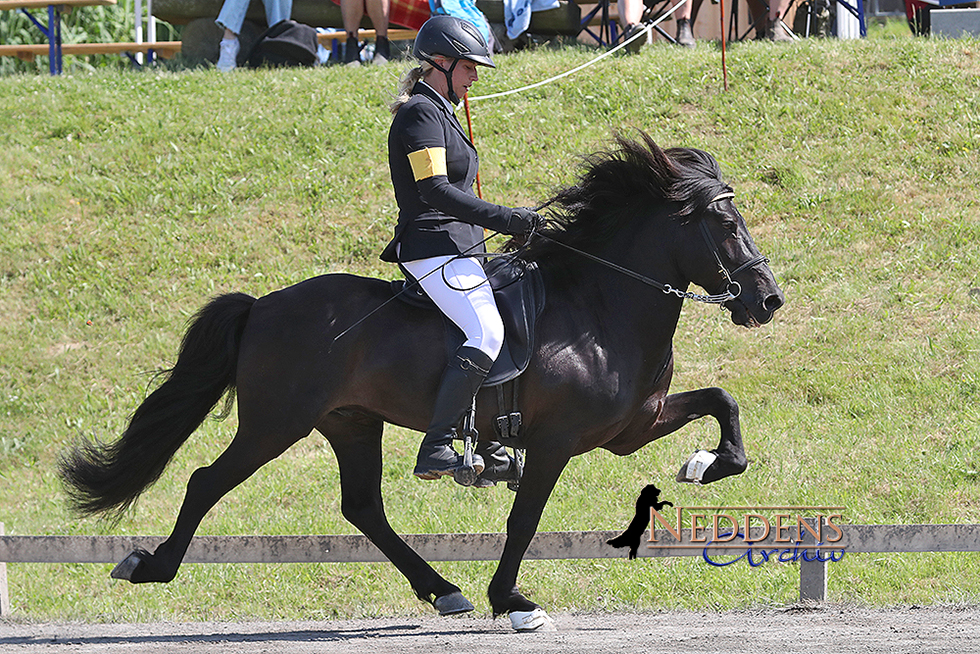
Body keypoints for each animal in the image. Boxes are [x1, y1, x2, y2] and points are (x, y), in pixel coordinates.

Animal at [59, 132, 780, 632]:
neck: (601, 307)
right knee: (207, 482)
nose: (767, 301)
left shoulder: (633, 425)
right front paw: (512, 600)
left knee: (363, 508)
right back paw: (152, 566)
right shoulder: (556, 443)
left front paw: (708, 464)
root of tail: (261, 305)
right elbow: (524, 520)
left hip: (351, 423)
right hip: (275, 423)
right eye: (724, 224)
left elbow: (722, 401)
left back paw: (442, 590)